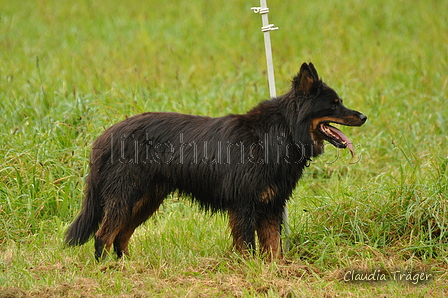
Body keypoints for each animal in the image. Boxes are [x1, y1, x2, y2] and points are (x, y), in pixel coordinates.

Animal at [66, 62, 368, 258]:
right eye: (334, 104)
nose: (364, 116)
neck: (279, 134)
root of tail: (105, 137)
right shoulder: (244, 205)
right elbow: (247, 247)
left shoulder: (270, 206)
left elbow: (274, 249)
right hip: (127, 196)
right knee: (103, 236)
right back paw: (108, 270)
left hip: (146, 199)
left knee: (120, 236)